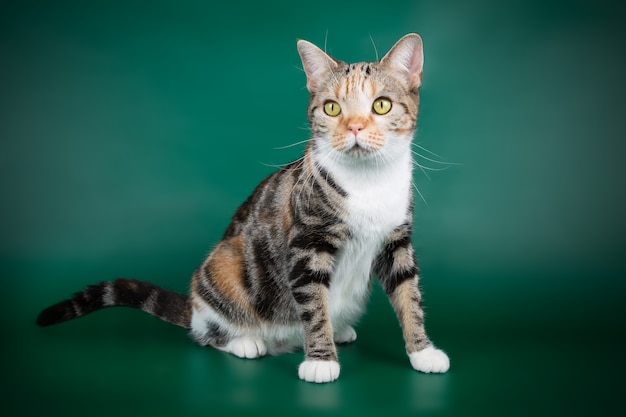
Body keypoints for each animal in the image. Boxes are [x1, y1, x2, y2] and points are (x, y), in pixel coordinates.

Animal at [36, 32, 448, 382]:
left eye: (381, 105)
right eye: (332, 108)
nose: (356, 127)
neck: (368, 184)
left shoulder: (397, 239)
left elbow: (408, 294)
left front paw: (422, 352)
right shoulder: (306, 245)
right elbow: (313, 306)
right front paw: (321, 360)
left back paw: (340, 329)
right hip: (224, 266)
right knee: (205, 334)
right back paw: (247, 341)